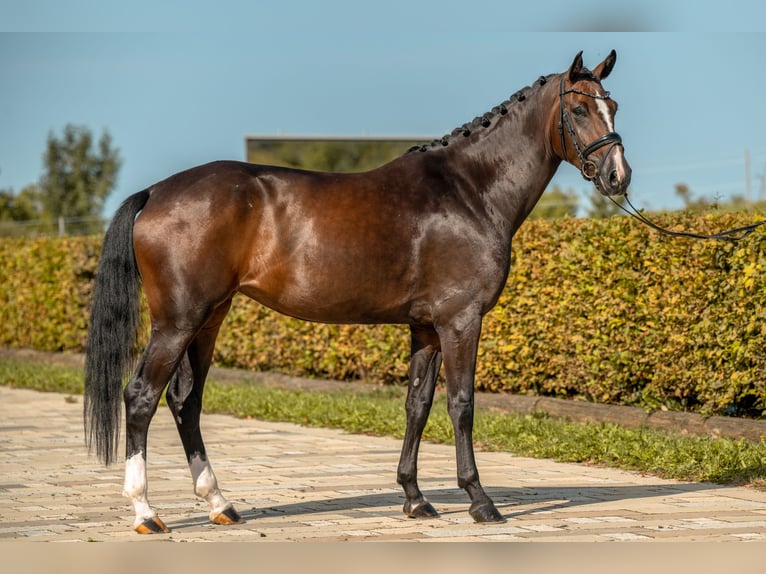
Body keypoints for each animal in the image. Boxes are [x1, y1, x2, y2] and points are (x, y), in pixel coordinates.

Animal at [84, 50, 631, 534]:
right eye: (579, 109)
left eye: (614, 106)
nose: (617, 176)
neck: (469, 192)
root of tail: (156, 191)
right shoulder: (461, 320)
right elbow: (461, 405)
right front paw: (480, 501)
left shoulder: (425, 327)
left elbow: (417, 405)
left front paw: (415, 499)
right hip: (178, 321)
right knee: (141, 397)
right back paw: (146, 512)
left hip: (208, 318)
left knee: (185, 402)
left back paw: (220, 503)